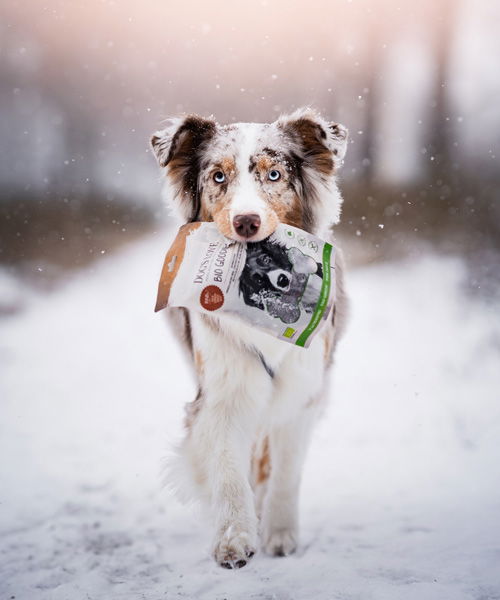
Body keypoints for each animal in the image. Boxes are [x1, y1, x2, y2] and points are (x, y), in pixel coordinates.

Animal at [150, 106, 350, 568]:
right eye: (218, 176)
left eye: (274, 174)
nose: (246, 222)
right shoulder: (223, 390)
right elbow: (226, 466)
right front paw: (234, 538)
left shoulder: (300, 392)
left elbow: (285, 470)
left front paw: (279, 533)